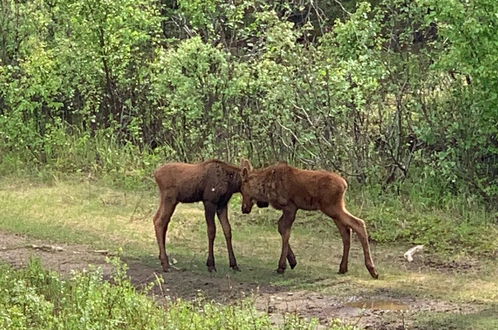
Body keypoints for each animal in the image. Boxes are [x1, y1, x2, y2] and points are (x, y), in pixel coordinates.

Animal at [240, 160, 378, 278]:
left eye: (242, 189)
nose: (244, 208)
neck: (265, 188)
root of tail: (345, 185)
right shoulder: (290, 208)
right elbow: (281, 228)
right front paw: (292, 261)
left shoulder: (290, 206)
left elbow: (285, 231)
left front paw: (282, 266)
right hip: (335, 209)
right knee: (346, 232)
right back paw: (343, 268)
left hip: (332, 207)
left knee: (358, 223)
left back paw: (372, 270)